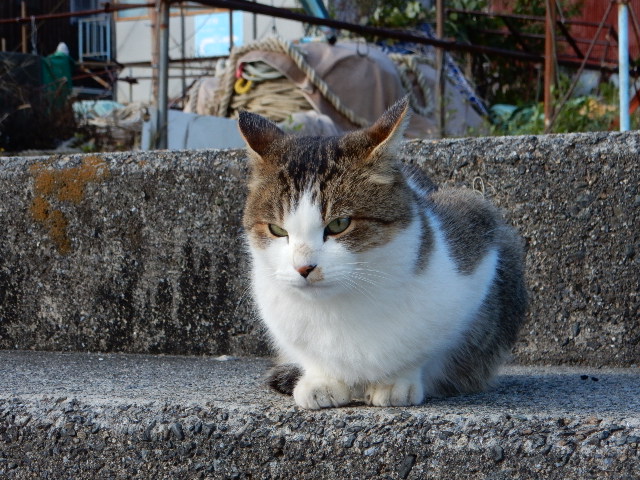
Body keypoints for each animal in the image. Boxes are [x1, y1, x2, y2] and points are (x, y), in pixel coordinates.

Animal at [239, 97, 527, 409]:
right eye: (277, 229)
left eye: (339, 224)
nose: (303, 268)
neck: (337, 309)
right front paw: (322, 381)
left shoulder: (477, 233)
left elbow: (423, 351)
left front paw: (395, 383)